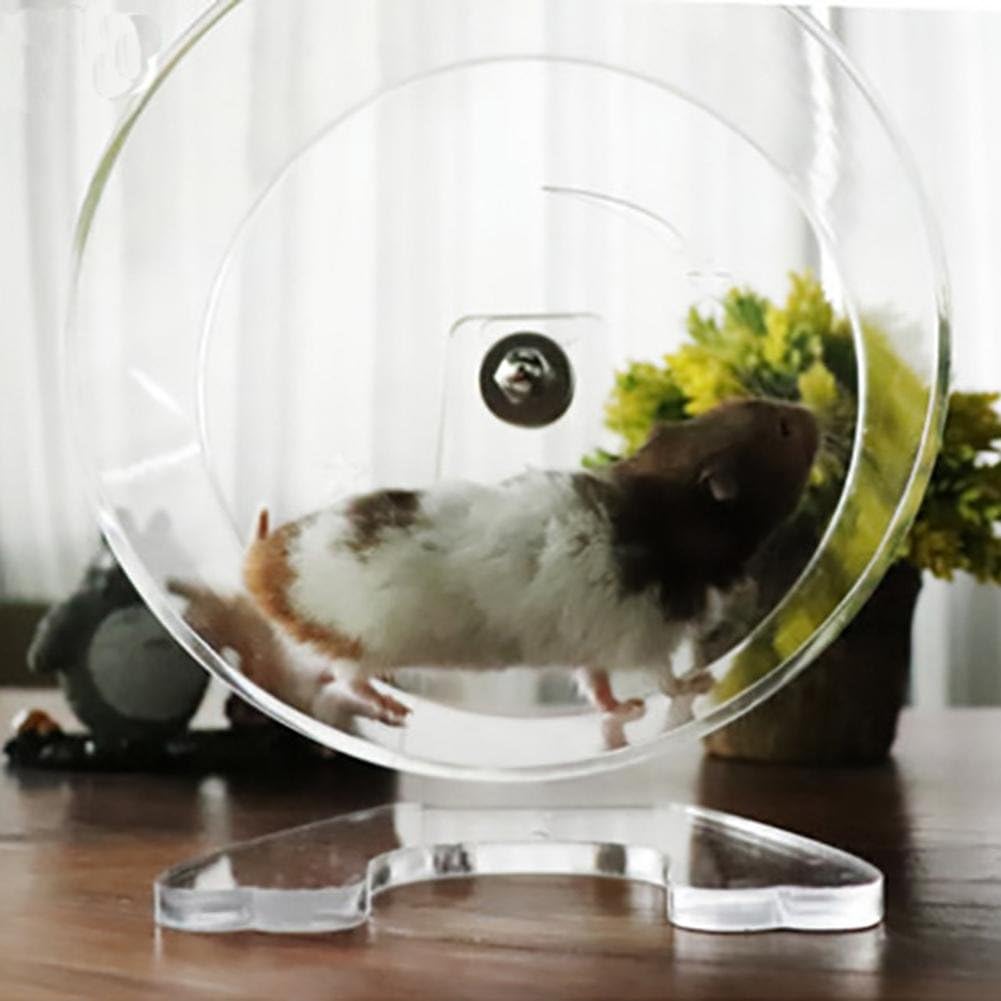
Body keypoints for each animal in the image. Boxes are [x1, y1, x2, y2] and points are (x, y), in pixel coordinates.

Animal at [243, 398, 819, 726]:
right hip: (364, 641)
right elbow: (667, 679)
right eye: (786, 431)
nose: (811, 413)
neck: (677, 507)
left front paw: (624, 711)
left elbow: (598, 683)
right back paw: (395, 708)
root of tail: (268, 566)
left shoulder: (596, 646)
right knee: (350, 680)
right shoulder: (650, 634)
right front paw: (702, 684)